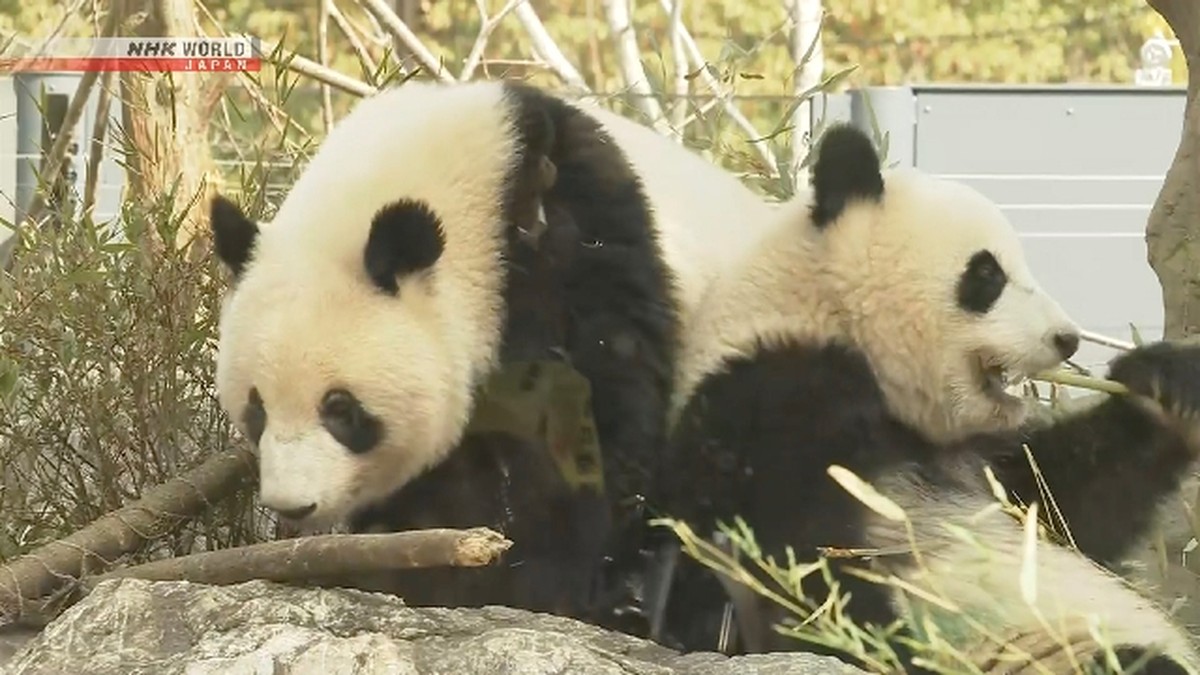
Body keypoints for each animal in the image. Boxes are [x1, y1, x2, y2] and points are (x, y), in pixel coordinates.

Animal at [206, 79, 776, 633]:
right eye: (256, 410)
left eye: (340, 408)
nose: (292, 505)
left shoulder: (574, 252)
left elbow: (588, 430)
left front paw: (533, 589)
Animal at [651, 122, 1200, 673]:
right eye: (988, 274)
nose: (1066, 339)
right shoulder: (771, 398)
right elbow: (803, 555)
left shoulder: (982, 459)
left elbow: (1064, 504)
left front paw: (1167, 387)